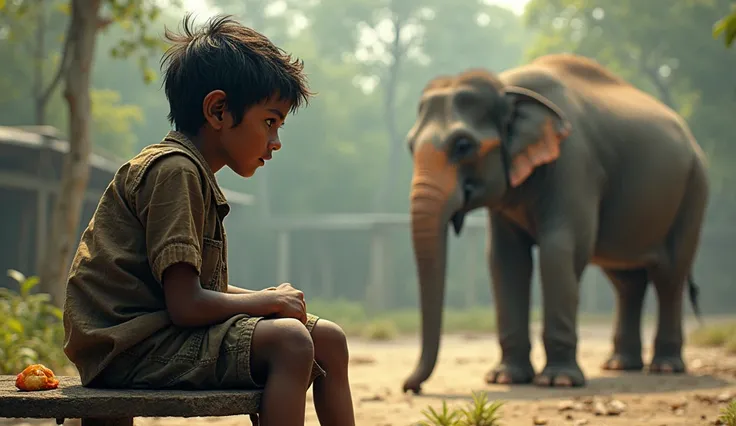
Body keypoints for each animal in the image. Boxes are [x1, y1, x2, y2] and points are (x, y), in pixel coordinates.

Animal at [402, 53, 708, 392]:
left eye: (463, 145)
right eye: (410, 146)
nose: (411, 387)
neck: (507, 86)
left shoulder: (575, 162)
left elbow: (559, 250)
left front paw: (558, 380)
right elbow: (505, 259)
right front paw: (505, 377)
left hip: (694, 188)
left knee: (669, 274)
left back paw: (665, 367)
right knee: (627, 281)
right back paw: (620, 364)